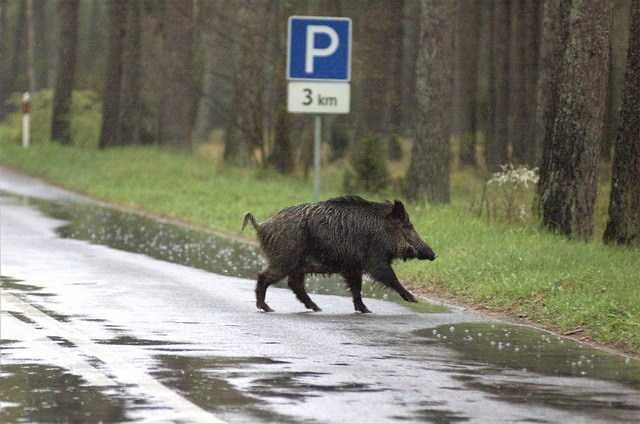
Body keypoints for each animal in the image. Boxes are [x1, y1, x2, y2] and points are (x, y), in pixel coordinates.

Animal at [242, 196, 436, 313]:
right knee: (264, 277)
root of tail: (263, 225)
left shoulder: (353, 267)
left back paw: (317, 308)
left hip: (296, 265)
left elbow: (356, 288)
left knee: (295, 285)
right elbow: (389, 277)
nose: (434, 254)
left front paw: (365, 310)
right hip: (285, 258)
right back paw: (267, 308)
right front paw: (413, 299)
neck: (382, 230)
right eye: (408, 227)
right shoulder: (374, 260)